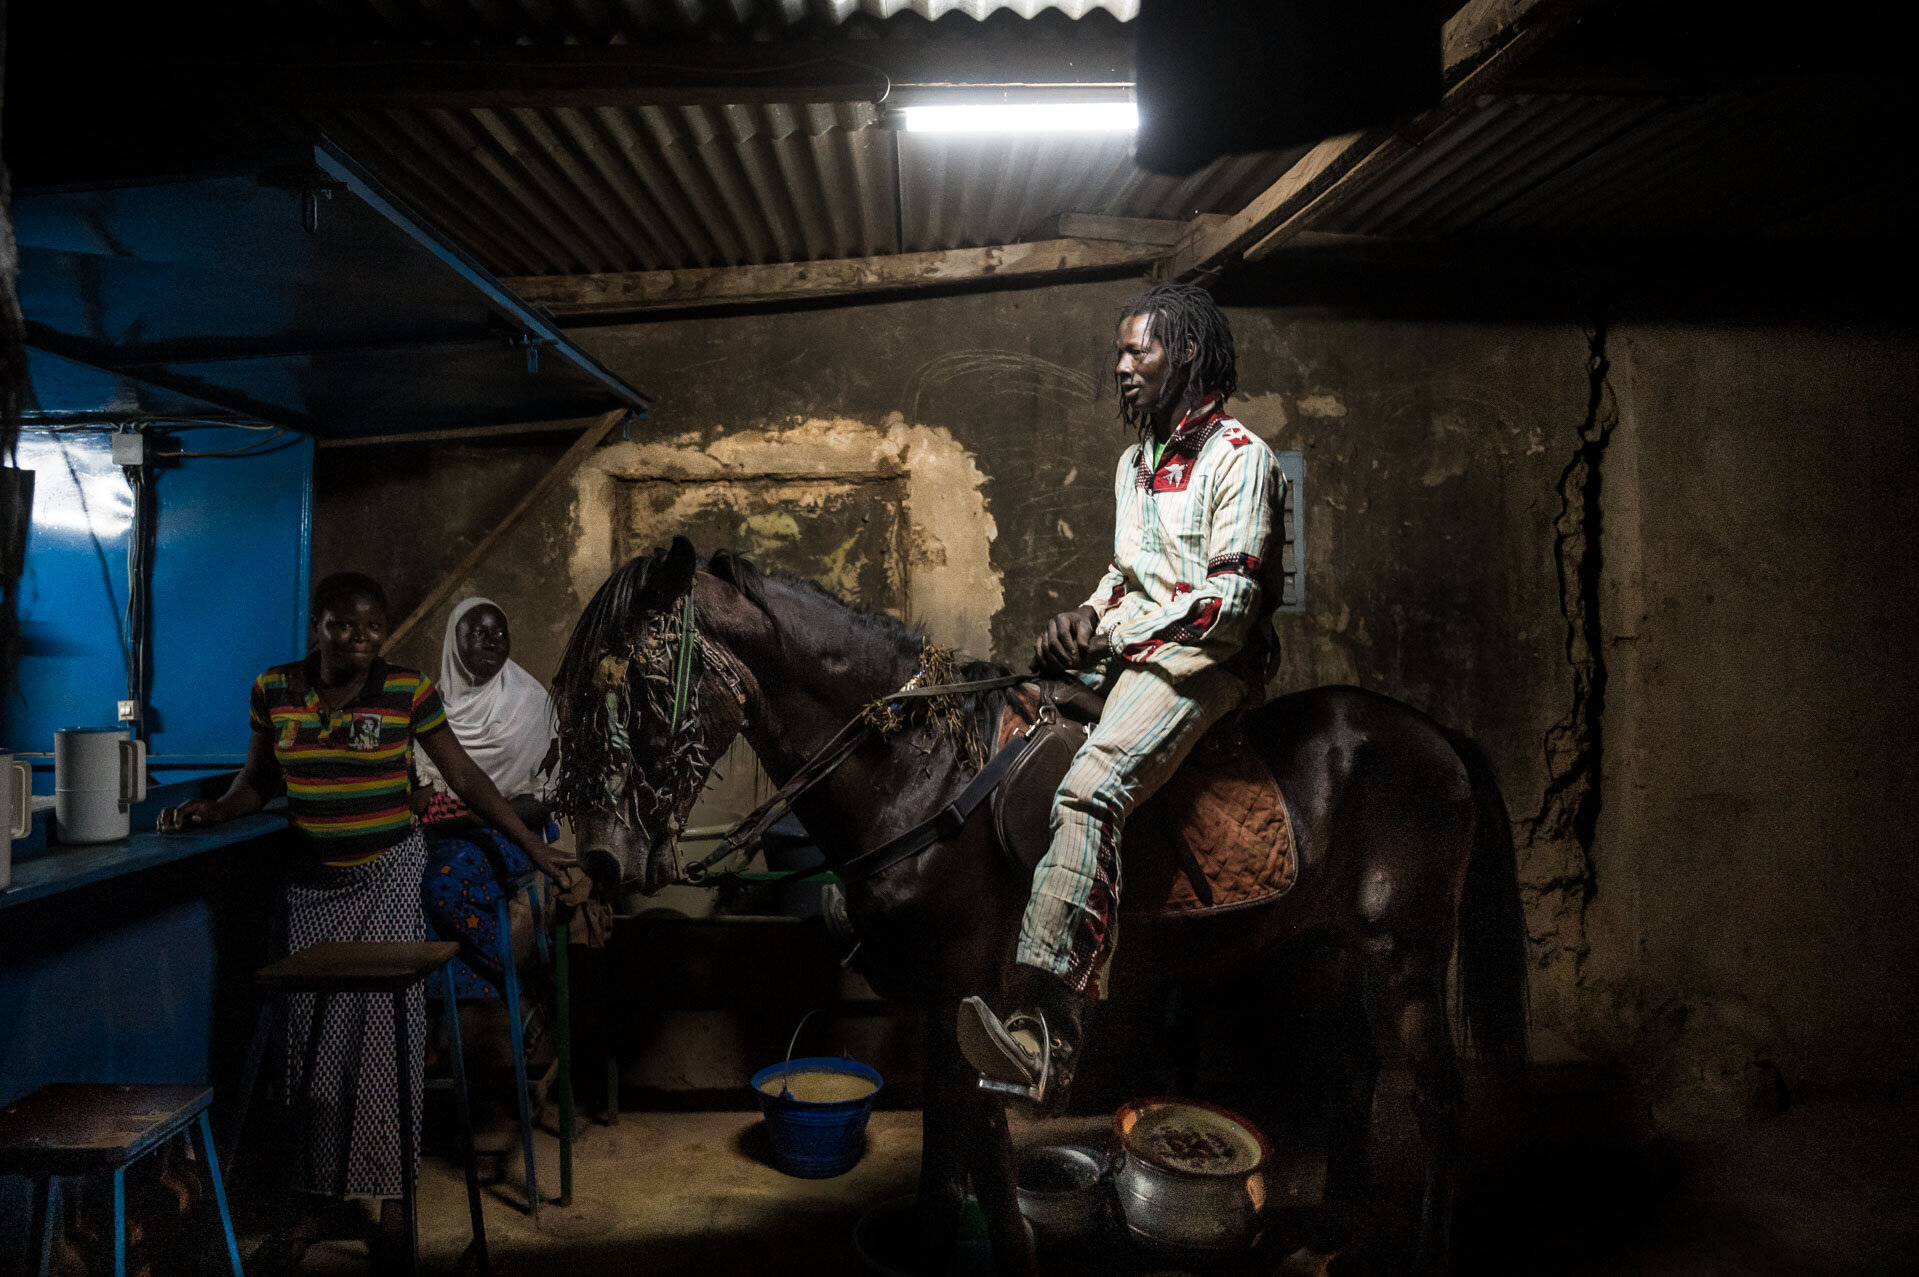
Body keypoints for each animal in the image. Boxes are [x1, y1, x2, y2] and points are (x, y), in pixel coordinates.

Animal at [556, 537, 1527, 1275]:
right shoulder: (936, 1001)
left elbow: (983, 1150)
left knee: (1437, 1100)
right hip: (1322, 946)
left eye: (641, 683)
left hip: (1405, 949)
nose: (600, 855)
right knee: (1354, 1072)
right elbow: (942, 1156)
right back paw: (1328, 1228)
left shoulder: (972, 995)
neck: (916, 771)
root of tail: (1436, 735)